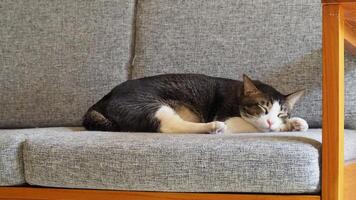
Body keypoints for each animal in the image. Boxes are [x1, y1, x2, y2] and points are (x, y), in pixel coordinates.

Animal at [82, 74, 308, 134]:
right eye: (262, 107)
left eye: (281, 113)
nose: (272, 121)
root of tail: (101, 101)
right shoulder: (228, 117)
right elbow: (254, 125)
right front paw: (286, 126)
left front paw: (293, 123)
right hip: (152, 105)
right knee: (170, 127)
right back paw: (212, 127)